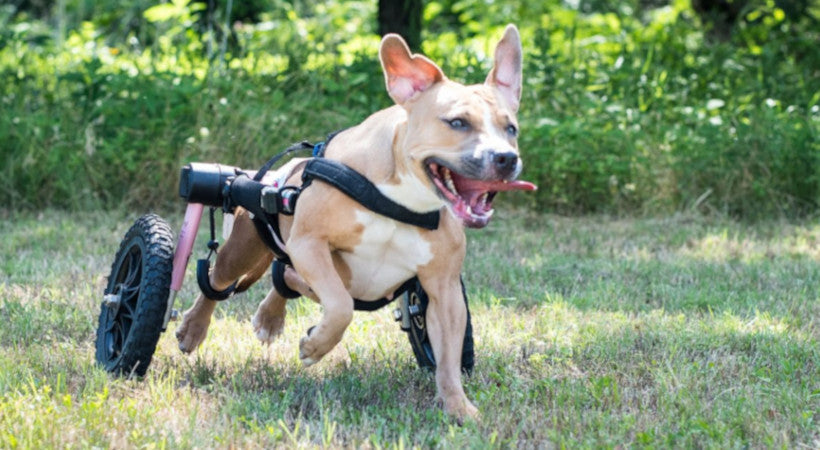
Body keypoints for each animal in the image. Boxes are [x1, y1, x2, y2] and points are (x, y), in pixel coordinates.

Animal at [174, 23, 536, 418]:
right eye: (457, 122)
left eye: (511, 129)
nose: (506, 158)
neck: (400, 200)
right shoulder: (310, 244)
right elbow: (340, 307)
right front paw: (315, 347)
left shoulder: (444, 290)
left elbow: (449, 358)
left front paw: (457, 406)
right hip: (245, 248)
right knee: (218, 279)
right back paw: (193, 328)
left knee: (285, 276)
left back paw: (270, 317)